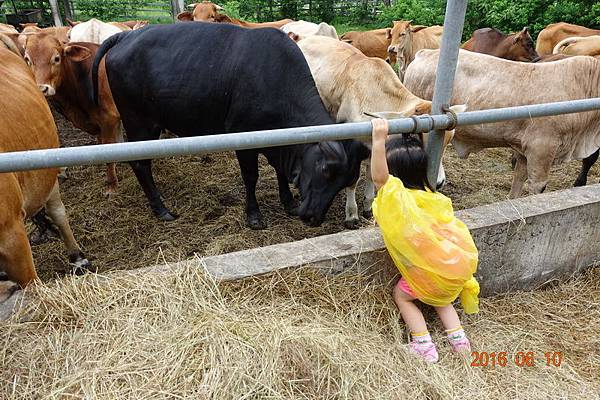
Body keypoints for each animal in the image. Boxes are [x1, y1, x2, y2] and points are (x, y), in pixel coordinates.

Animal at [92, 23, 370, 228]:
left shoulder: (279, 142)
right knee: (141, 164)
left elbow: (280, 171)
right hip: (139, 122)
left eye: (345, 181)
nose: (314, 217)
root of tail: (126, 35)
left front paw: (288, 202)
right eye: (326, 170)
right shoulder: (244, 139)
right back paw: (161, 209)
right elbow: (251, 176)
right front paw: (254, 215)